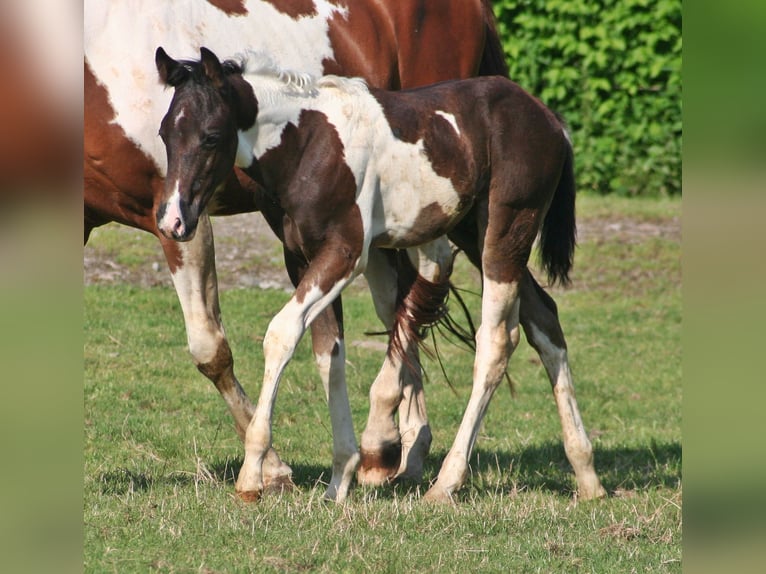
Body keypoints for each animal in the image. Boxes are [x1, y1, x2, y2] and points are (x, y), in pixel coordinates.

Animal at [85, 0, 510, 490]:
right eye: (163, 135)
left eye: (211, 138)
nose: (173, 218)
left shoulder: (184, 219)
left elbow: (212, 347)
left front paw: (269, 467)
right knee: (407, 304)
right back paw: (401, 448)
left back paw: (391, 446)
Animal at [155, 46, 607, 503]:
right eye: (163, 135)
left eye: (211, 136)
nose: (173, 222)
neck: (309, 144)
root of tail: (548, 119)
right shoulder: (303, 259)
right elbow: (328, 354)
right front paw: (339, 481)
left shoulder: (346, 253)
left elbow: (281, 333)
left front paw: (252, 476)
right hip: (474, 233)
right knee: (544, 320)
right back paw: (587, 474)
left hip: (507, 231)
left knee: (497, 341)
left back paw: (447, 483)